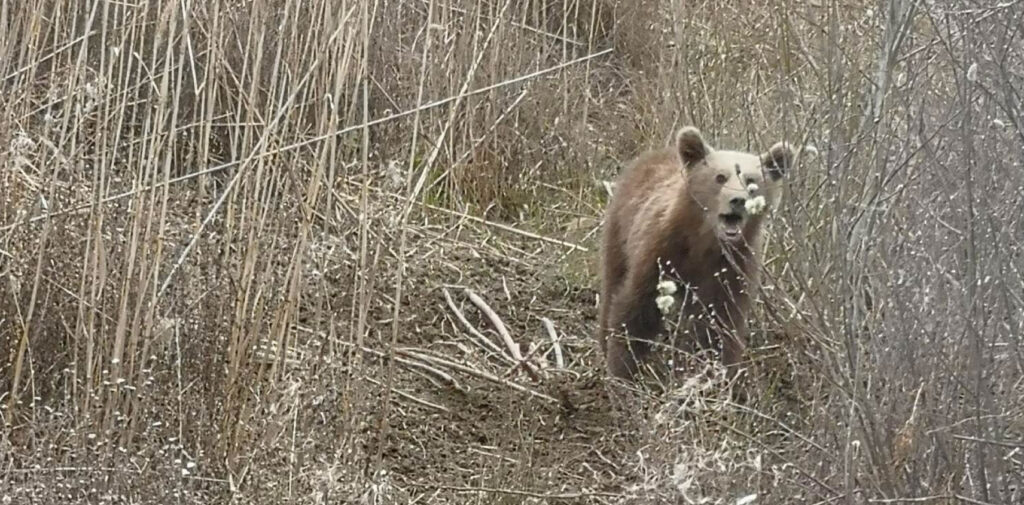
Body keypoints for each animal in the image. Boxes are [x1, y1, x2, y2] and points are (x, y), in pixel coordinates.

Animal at [598, 127, 794, 381]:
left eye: (751, 180)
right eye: (720, 177)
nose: (738, 200)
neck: (704, 243)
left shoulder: (732, 269)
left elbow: (720, 324)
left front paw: (720, 373)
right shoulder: (660, 253)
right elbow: (635, 309)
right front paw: (622, 368)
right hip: (620, 229)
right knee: (612, 281)